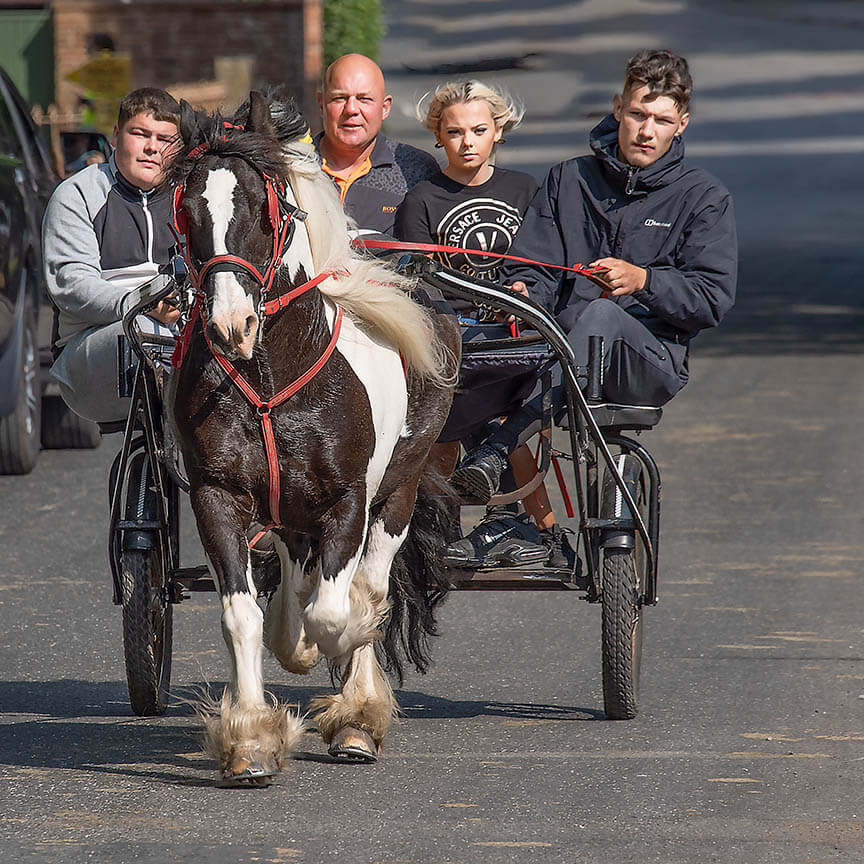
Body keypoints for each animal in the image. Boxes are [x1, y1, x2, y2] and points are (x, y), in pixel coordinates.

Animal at [171, 93, 462, 784]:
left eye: (260, 205)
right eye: (188, 210)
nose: (231, 325)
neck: (271, 378)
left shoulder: (347, 500)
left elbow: (340, 613)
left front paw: (344, 686)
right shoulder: (217, 495)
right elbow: (244, 617)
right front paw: (250, 739)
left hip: (399, 489)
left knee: (369, 584)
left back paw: (356, 716)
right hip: (286, 511)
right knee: (294, 574)